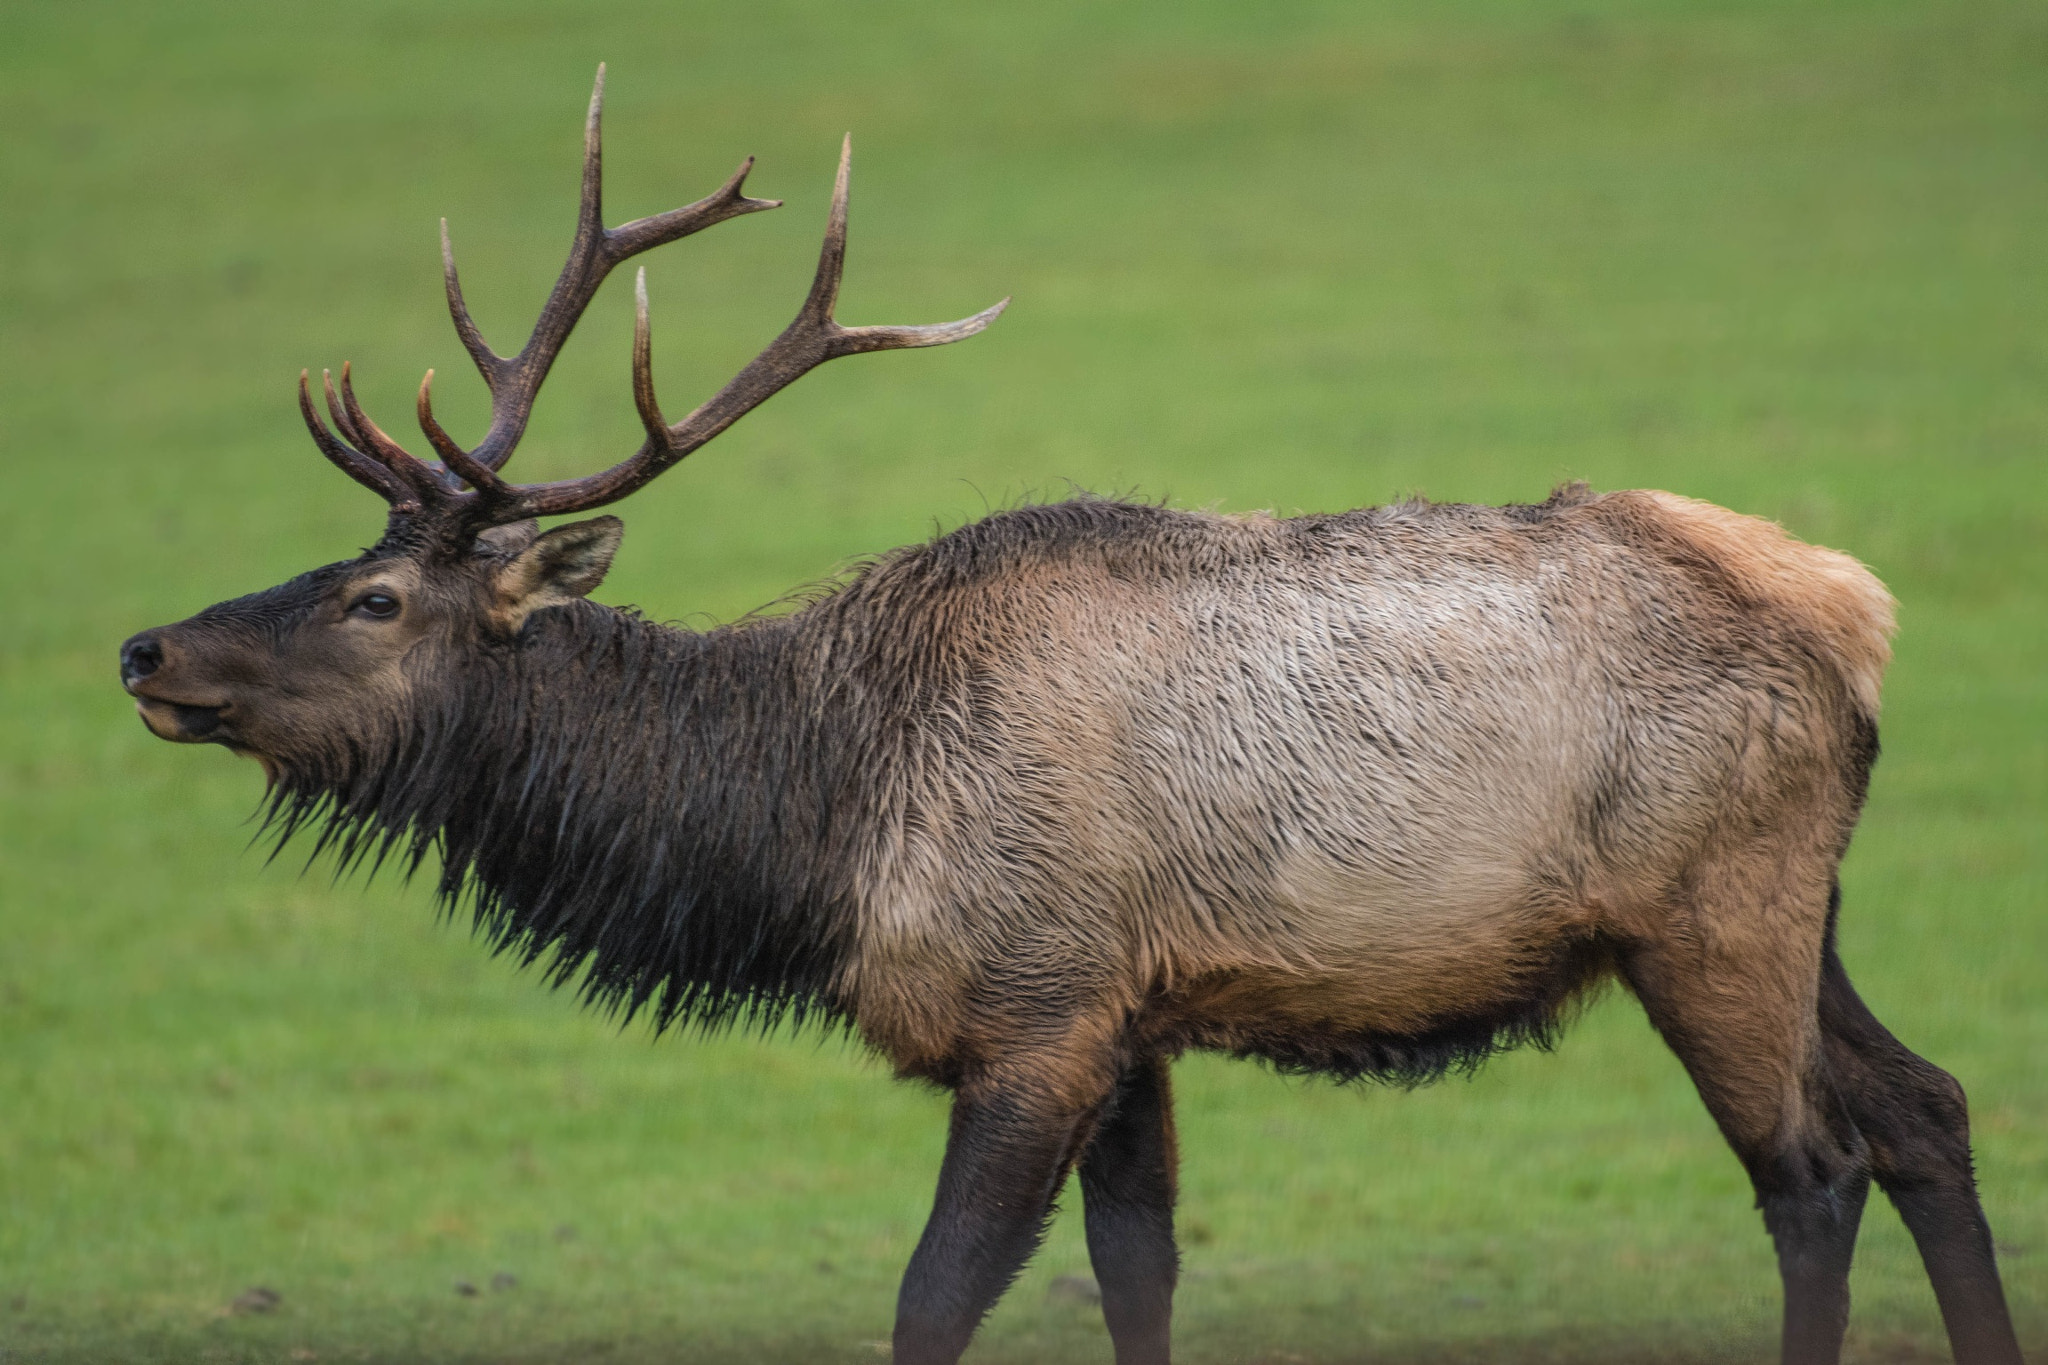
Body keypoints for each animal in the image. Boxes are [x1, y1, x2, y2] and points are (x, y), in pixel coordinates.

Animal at [117, 69, 2024, 1365]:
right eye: (339, 563)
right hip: (1792, 903)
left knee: (1813, 1168)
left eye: (374, 601)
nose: (144, 649)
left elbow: (931, 1300)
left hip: (1709, 906)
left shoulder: (1036, 1010)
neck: (819, 829)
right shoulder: (1135, 1016)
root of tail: (1850, 608)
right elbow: (1139, 1276)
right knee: (1925, 1107)